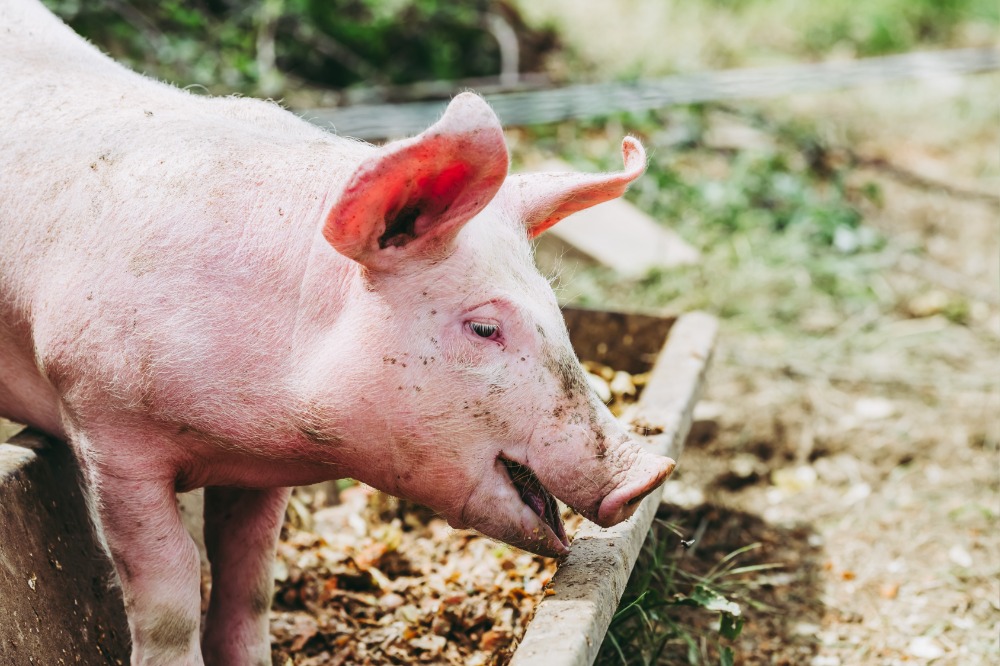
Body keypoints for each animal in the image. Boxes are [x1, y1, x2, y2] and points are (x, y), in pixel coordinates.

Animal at [0, 1, 672, 664]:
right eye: (484, 327)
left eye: (555, 309)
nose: (653, 470)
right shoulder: (104, 426)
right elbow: (170, 588)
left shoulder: (257, 470)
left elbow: (250, 575)